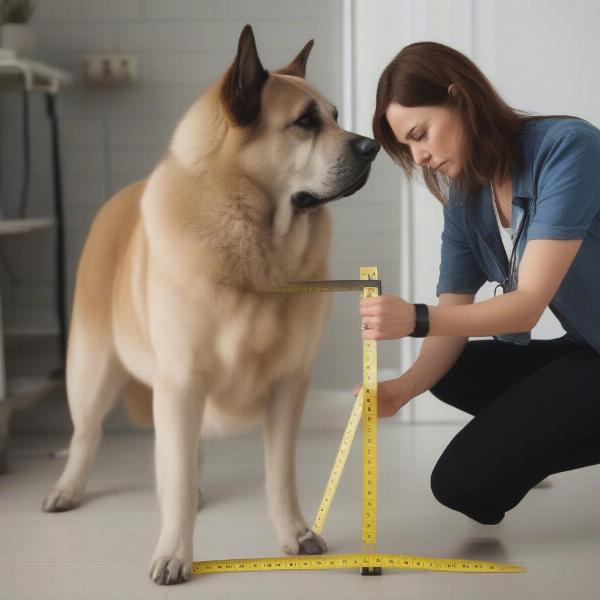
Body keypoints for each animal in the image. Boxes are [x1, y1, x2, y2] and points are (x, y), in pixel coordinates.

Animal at [41, 25, 380, 584]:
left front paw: (294, 533)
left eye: (335, 115)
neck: (255, 239)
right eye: (305, 122)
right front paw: (174, 552)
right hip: (91, 370)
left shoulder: (288, 386)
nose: (373, 145)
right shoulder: (181, 380)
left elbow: (280, 473)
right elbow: (175, 478)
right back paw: (68, 487)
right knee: (87, 434)